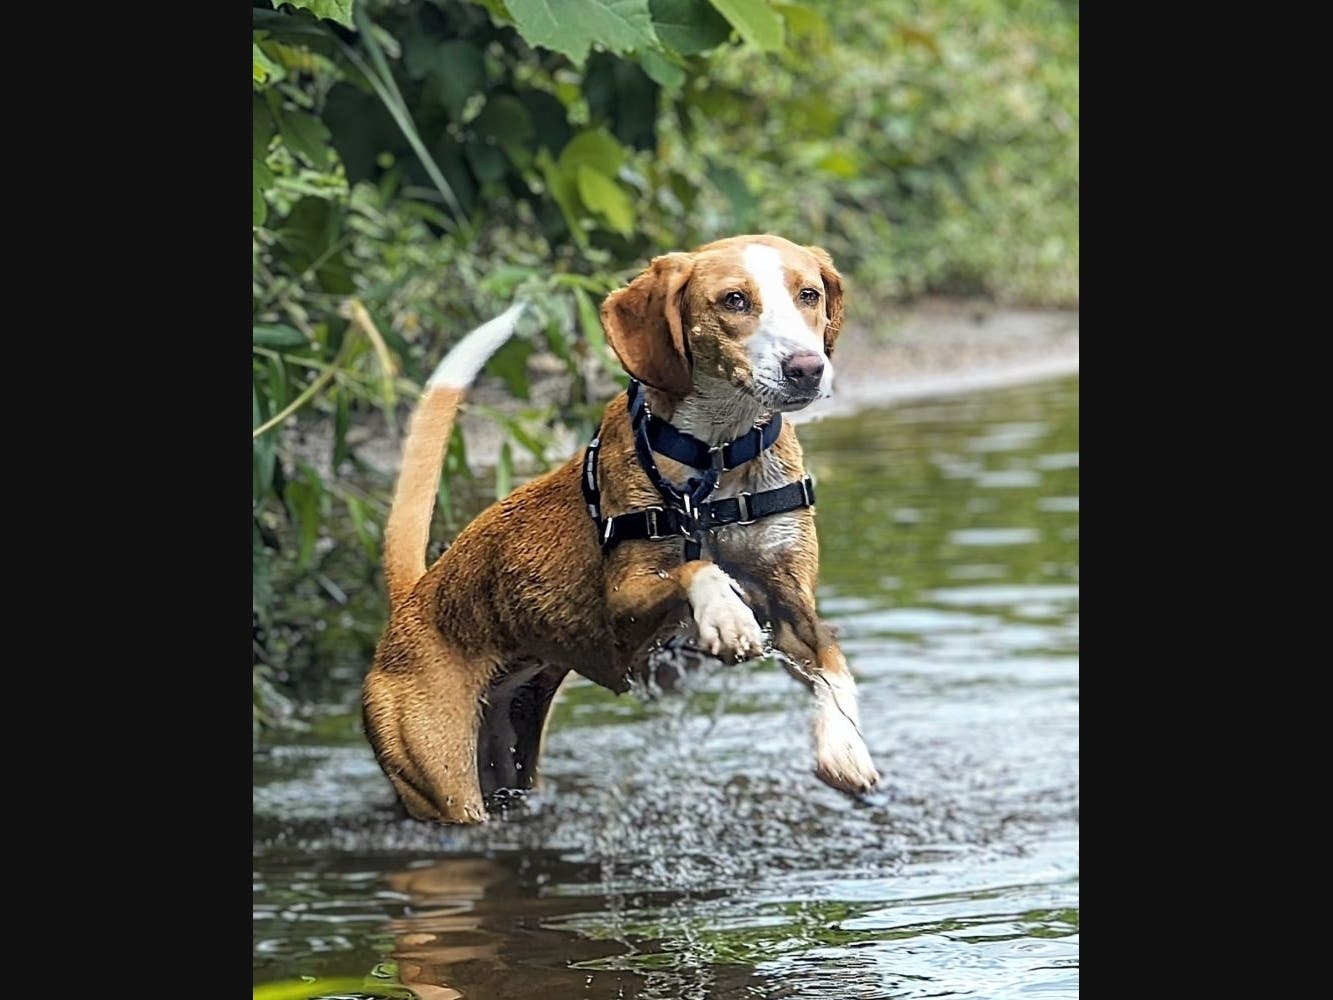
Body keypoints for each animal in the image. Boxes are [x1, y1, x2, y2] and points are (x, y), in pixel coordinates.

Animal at [365, 237, 879, 832]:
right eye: (734, 300)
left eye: (809, 294)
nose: (807, 369)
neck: (717, 460)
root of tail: (415, 595)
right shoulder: (624, 602)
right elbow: (696, 566)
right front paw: (726, 616)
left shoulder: (790, 602)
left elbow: (833, 661)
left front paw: (845, 748)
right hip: (445, 784)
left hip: (510, 753)